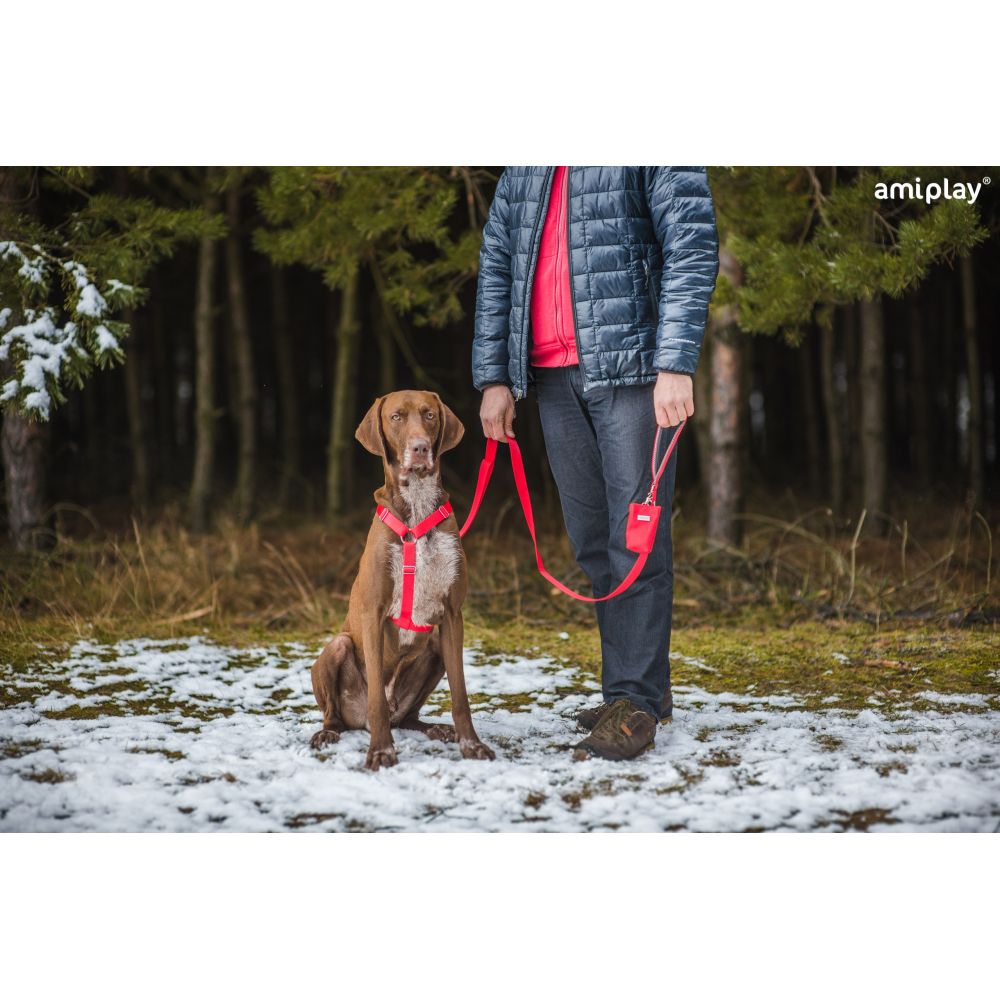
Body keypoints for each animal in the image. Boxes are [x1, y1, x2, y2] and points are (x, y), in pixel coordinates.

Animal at [310, 390, 496, 770]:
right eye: (395, 417)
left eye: (429, 415)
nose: (420, 447)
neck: (416, 510)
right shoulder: (373, 612)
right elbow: (377, 702)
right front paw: (381, 751)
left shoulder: (452, 614)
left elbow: (460, 694)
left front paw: (471, 745)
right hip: (338, 647)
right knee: (339, 713)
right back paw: (328, 732)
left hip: (434, 649)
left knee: (409, 717)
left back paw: (434, 728)